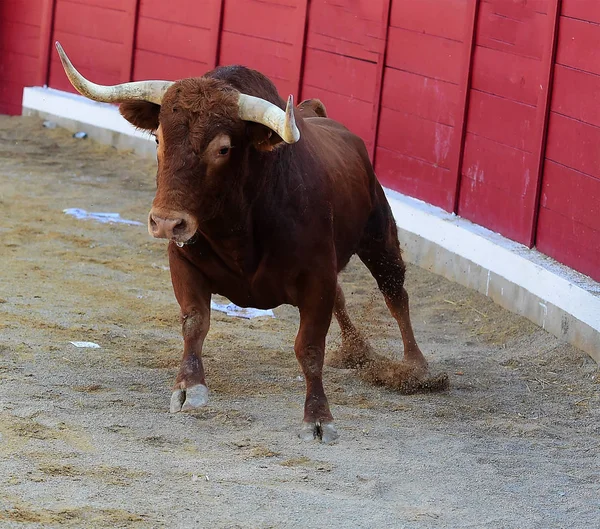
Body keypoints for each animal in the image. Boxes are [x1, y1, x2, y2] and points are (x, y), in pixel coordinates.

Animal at [56, 42, 448, 442]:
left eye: (223, 149)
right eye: (158, 138)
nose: (166, 222)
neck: (241, 224)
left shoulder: (316, 278)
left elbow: (309, 347)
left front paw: (318, 418)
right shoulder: (183, 261)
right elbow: (194, 322)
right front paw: (188, 387)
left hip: (378, 236)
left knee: (395, 293)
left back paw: (417, 369)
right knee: (346, 297)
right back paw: (358, 353)